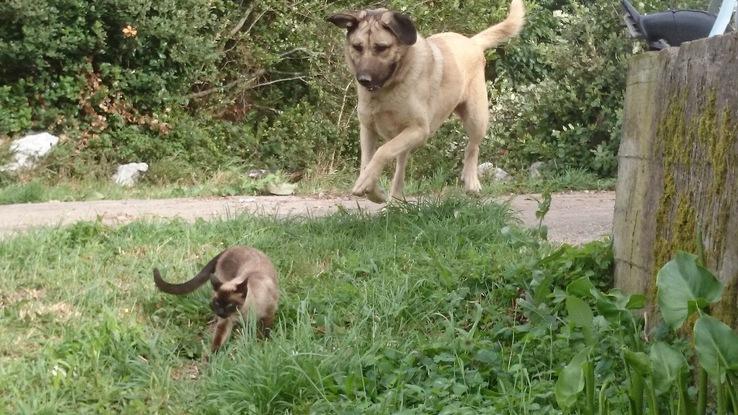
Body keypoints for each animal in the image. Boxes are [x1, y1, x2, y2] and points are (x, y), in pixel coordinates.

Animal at [328, 0, 524, 203]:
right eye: (357, 47)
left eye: (381, 47)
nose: (364, 79)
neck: (389, 88)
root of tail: (471, 41)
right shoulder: (368, 129)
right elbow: (367, 163)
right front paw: (373, 191)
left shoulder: (419, 130)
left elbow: (382, 151)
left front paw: (367, 183)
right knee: (400, 167)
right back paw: (395, 198)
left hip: (476, 118)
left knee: (472, 148)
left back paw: (471, 181)